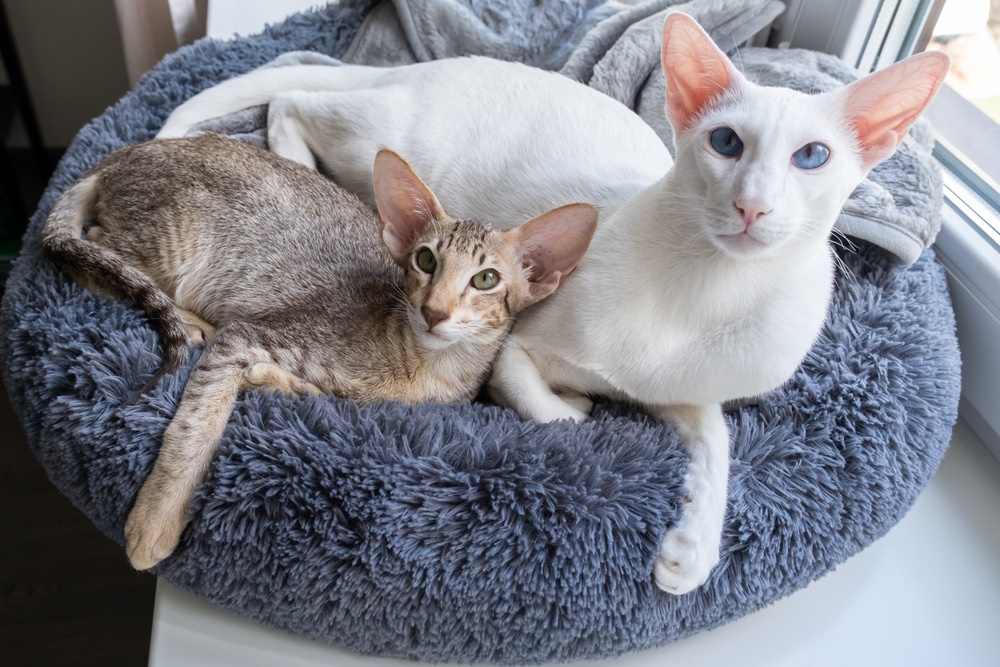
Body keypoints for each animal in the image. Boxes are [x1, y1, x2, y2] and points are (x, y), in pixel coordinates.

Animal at [160, 11, 948, 596]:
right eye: (726, 142)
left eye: (811, 157)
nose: (753, 206)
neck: (706, 293)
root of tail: (419, 68)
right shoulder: (517, 348)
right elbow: (561, 419)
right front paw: (581, 410)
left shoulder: (687, 393)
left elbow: (718, 441)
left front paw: (691, 554)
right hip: (377, 138)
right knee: (295, 98)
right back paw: (302, 163)